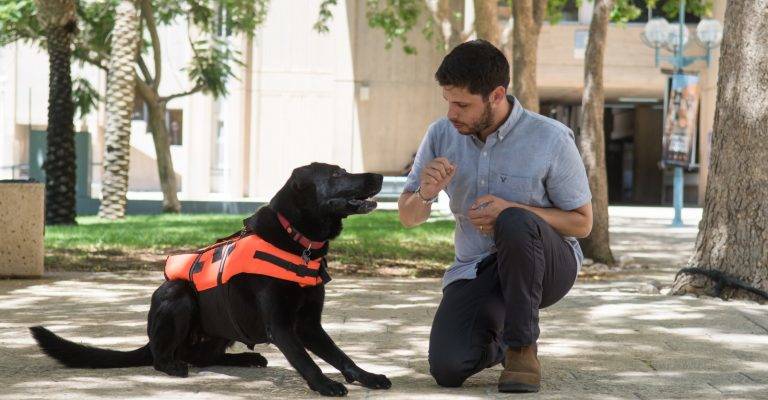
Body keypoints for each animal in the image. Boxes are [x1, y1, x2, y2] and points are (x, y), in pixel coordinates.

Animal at [30, 162, 390, 396]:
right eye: (336, 173)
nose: (380, 175)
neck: (298, 240)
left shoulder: (309, 325)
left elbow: (340, 355)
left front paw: (367, 376)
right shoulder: (281, 325)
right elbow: (306, 360)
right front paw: (325, 384)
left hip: (219, 330)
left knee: (205, 356)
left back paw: (246, 358)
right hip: (178, 294)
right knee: (163, 356)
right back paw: (173, 365)